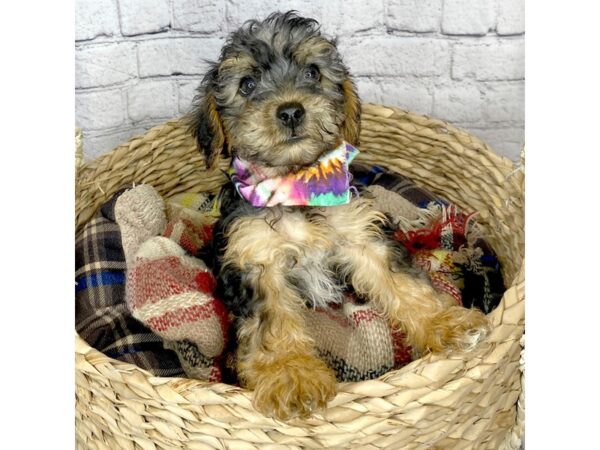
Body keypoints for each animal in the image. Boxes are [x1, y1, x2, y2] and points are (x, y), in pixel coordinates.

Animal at [186, 10, 488, 420]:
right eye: (247, 84)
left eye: (313, 72)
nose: (291, 110)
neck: (299, 181)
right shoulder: (256, 259)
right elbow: (272, 322)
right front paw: (292, 374)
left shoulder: (363, 236)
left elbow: (404, 284)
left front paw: (444, 322)